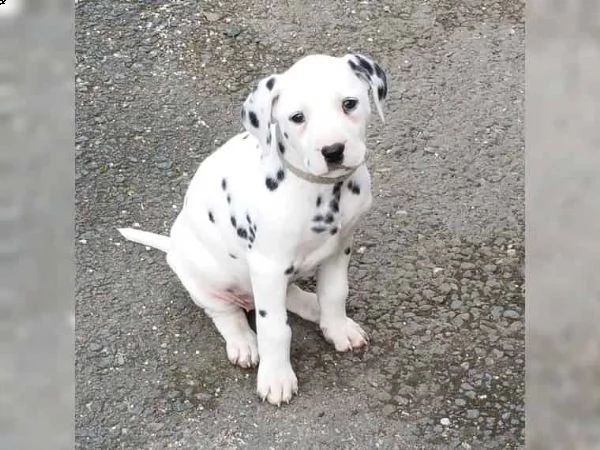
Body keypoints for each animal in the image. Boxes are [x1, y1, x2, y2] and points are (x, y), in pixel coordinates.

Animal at [118, 51, 390, 404]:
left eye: (349, 104)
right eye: (297, 117)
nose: (333, 151)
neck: (321, 190)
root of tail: (173, 245)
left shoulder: (340, 246)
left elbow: (334, 292)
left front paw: (337, 327)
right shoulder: (267, 266)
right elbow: (274, 329)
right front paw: (276, 377)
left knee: (288, 297)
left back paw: (311, 306)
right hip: (205, 279)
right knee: (226, 314)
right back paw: (243, 342)